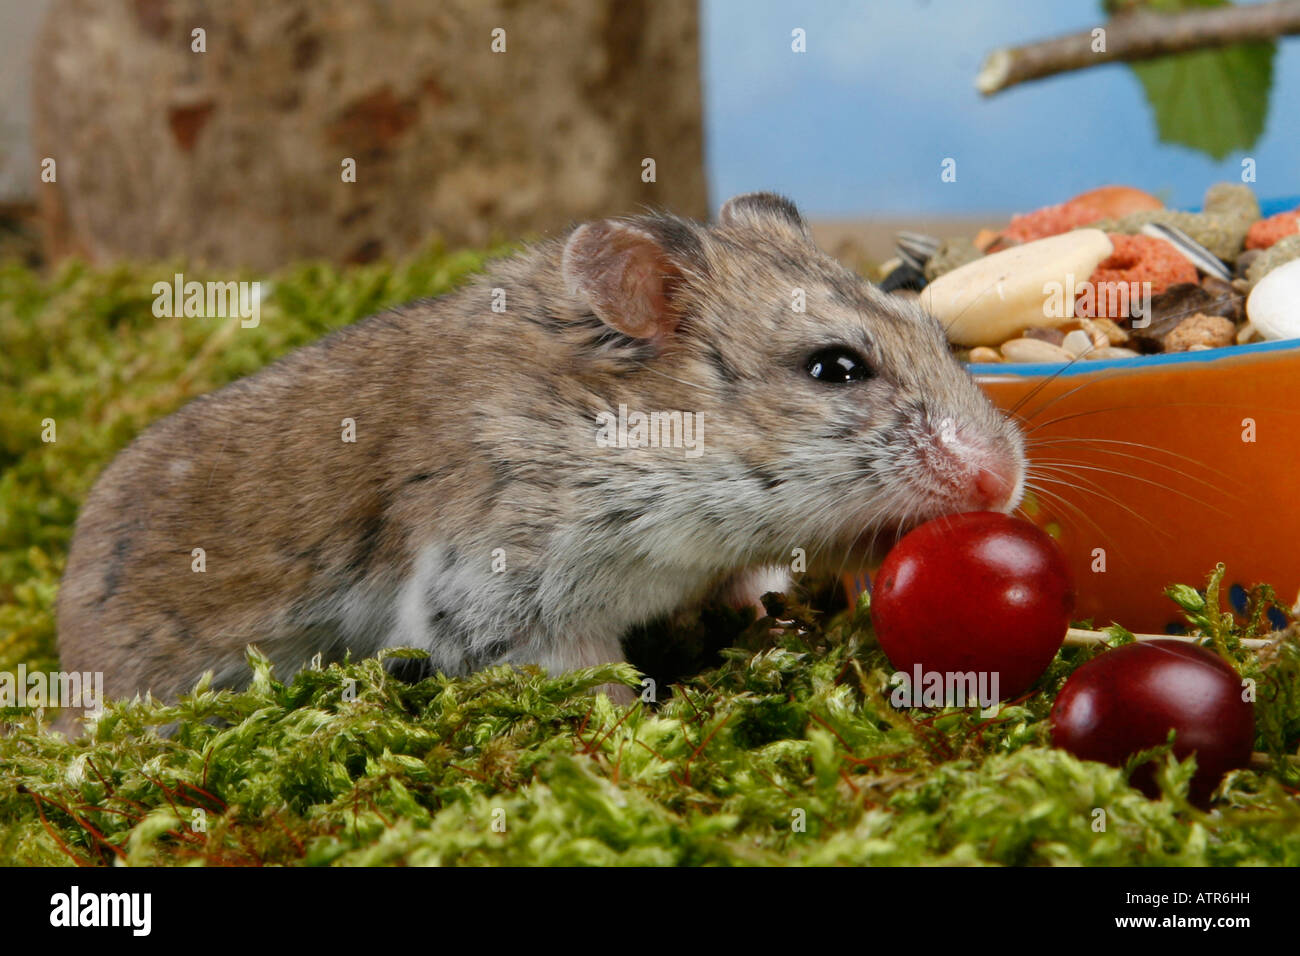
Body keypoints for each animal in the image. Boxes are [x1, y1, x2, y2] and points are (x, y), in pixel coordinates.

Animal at [53, 192, 1024, 717]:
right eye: (834, 367)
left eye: (937, 332)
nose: (1006, 479)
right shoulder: (509, 601)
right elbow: (586, 676)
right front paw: (640, 719)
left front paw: (770, 608)